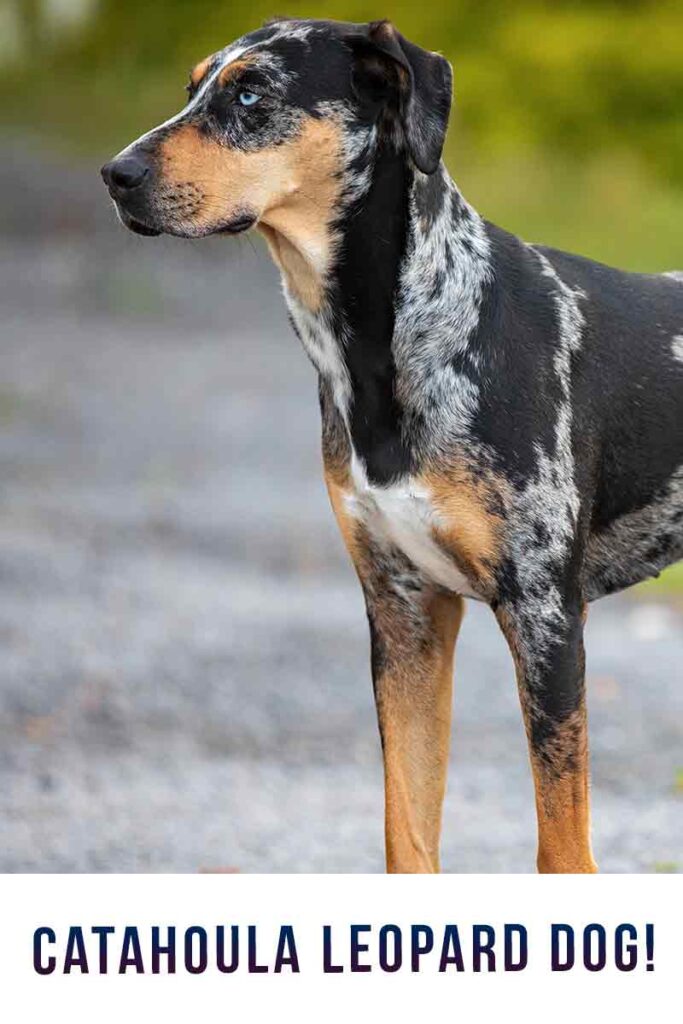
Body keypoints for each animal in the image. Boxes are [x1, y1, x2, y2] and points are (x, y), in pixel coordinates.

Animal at [101, 18, 683, 872]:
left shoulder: (546, 619)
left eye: (251, 94)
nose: (115, 174)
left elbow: (560, 848)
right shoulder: (405, 613)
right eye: (193, 89)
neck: (402, 337)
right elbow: (406, 832)